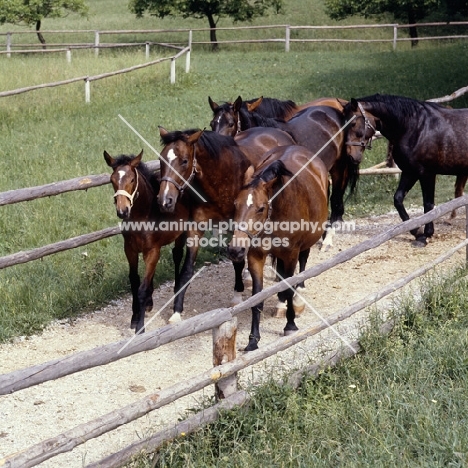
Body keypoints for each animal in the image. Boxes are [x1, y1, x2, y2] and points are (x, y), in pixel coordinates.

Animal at [104, 150, 188, 332]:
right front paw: (135, 317)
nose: (122, 211)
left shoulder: (152, 250)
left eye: (132, 180)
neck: (144, 216)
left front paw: (140, 327)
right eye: (112, 180)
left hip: (182, 235)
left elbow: (141, 288)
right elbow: (134, 281)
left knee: (177, 255)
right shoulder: (130, 249)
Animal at [227, 146, 330, 352]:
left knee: (303, 264)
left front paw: (290, 325)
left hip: (305, 243)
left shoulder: (291, 254)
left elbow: (290, 287)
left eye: (260, 208)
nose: (235, 250)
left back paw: (297, 299)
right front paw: (253, 341)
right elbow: (257, 298)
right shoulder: (256, 255)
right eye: (235, 204)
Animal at [342, 94, 468, 247]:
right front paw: (416, 232)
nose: (350, 156)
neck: (414, 128)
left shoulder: (427, 174)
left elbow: (428, 204)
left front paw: (426, 235)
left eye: (353, 123)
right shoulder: (409, 172)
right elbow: (398, 199)